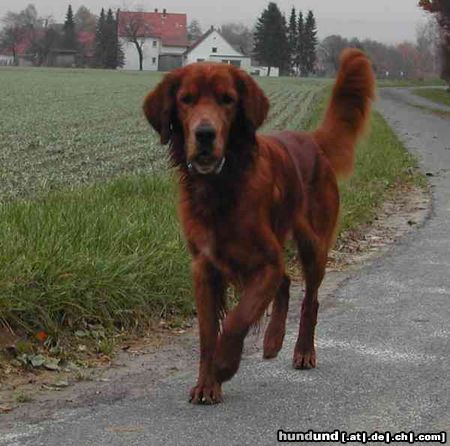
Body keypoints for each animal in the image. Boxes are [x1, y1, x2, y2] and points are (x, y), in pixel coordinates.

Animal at [144, 49, 376, 404]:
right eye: (186, 100)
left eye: (227, 100)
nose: (205, 134)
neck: (223, 185)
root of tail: (310, 140)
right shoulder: (204, 268)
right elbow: (208, 333)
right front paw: (207, 382)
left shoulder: (266, 261)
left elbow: (236, 320)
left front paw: (224, 365)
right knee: (286, 283)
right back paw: (273, 340)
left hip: (313, 246)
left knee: (310, 298)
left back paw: (303, 351)